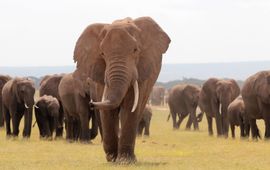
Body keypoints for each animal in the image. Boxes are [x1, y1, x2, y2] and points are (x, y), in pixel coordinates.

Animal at [73, 16, 170, 163]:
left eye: (135, 50)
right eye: (102, 53)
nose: (91, 103)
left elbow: (130, 108)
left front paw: (125, 160)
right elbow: (107, 111)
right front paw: (112, 158)